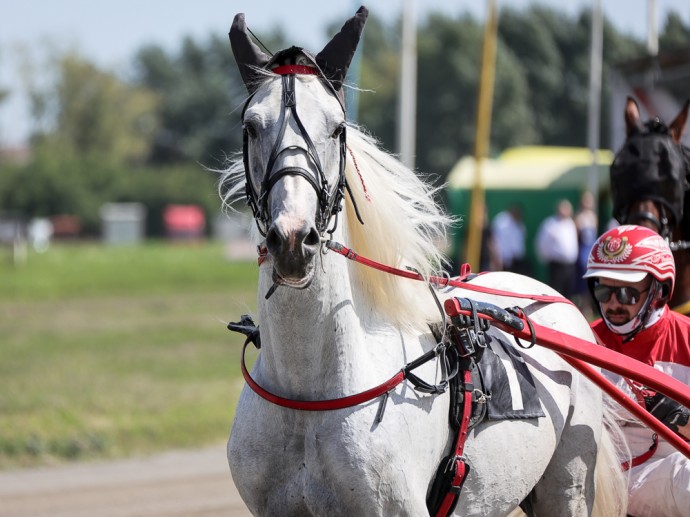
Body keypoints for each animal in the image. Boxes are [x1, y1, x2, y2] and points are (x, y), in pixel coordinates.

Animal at [222, 9, 628, 516]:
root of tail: (549, 295)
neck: (307, 396)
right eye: (251, 127)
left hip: (567, 481)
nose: (293, 240)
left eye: (336, 127)